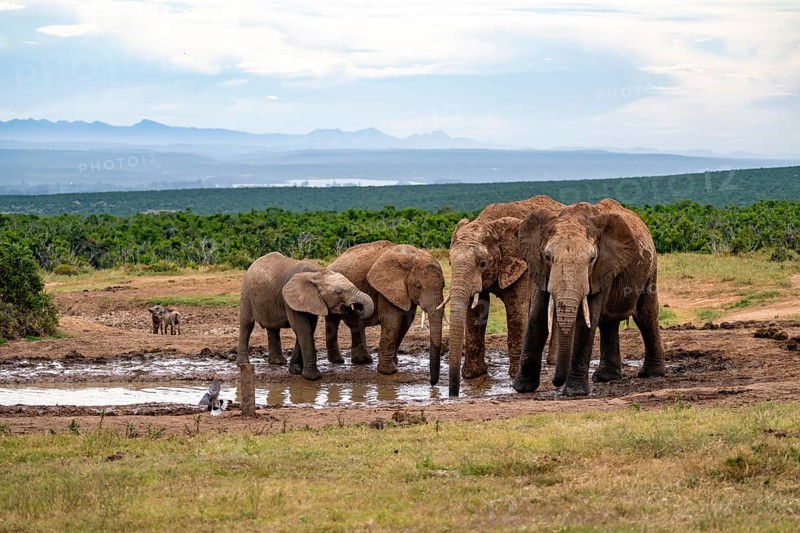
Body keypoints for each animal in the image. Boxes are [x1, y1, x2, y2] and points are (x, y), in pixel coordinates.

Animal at [237, 252, 375, 381]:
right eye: (338, 292)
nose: (356, 308)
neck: (316, 274)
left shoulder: (311, 300)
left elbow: (308, 328)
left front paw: (296, 370)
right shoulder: (291, 300)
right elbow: (304, 328)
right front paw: (313, 377)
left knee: (273, 327)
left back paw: (278, 362)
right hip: (246, 291)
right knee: (247, 324)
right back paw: (243, 364)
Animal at [325, 241, 445, 382]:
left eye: (444, 285)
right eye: (418, 286)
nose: (431, 382)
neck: (411, 256)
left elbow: (405, 323)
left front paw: (395, 363)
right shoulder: (386, 289)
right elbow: (392, 321)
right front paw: (389, 371)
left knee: (356, 324)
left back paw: (363, 361)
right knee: (333, 321)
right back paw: (338, 361)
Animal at [446, 195, 565, 396]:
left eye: (483, 263)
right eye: (449, 262)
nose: (453, 394)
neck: (488, 223)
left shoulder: (523, 265)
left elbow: (516, 310)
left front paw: (515, 376)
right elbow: (475, 311)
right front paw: (473, 375)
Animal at [513, 198, 667, 397]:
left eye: (592, 259)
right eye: (547, 257)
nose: (556, 382)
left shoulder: (602, 267)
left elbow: (587, 321)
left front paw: (574, 393)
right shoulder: (541, 270)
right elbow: (537, 316)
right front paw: (522, 388)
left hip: (650, 268)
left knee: (645, 317)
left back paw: (651, 374)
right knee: (609, 322)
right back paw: (605, 378)